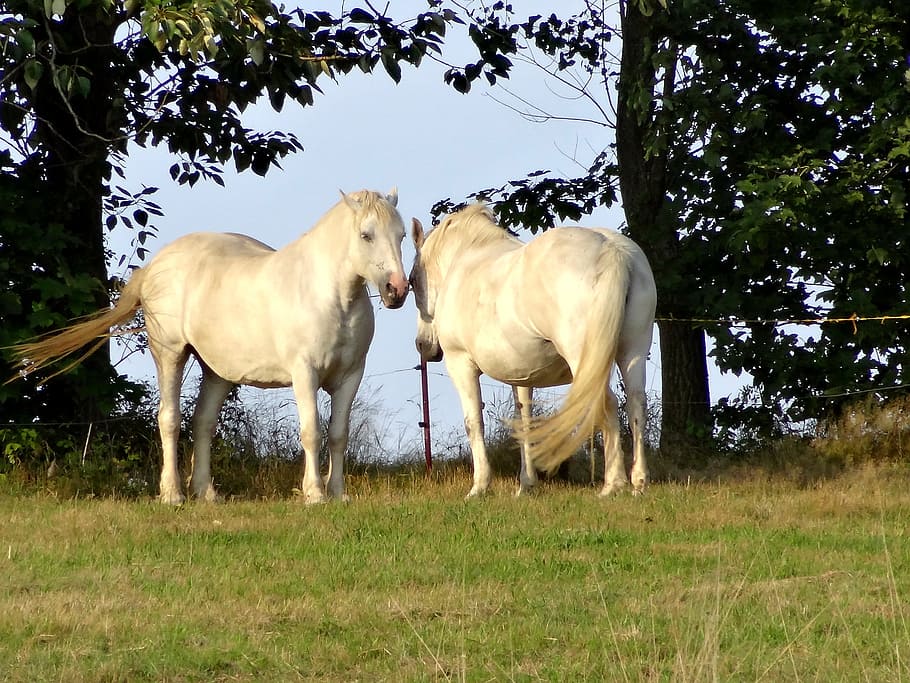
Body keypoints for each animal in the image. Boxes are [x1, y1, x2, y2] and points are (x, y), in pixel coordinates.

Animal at [11, 189, 409, 504]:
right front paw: (314, 494)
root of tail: (156, 264)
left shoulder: (350, 376)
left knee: (202, 423)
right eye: (366, 235)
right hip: (169, 354)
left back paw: (205, 492)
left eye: (402, 235)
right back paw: (172, 494)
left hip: (216, 372)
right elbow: (312, 431)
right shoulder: (304, 373)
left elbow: (338, 435)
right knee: (170, 420)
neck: (329, 294)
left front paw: (338, 494)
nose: (397, 289)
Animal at [409, 204, 656, 498]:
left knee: (606, 404)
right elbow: (524, 421)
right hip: (633, 352)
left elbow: (473, 422)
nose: (423, 345)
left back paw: (612, 484)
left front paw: (479, 487)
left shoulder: (461, 365)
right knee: (635, 403)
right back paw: (639, 482)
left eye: (412, 281)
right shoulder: (522, 375)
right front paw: (525, 484)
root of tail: (612, 250)